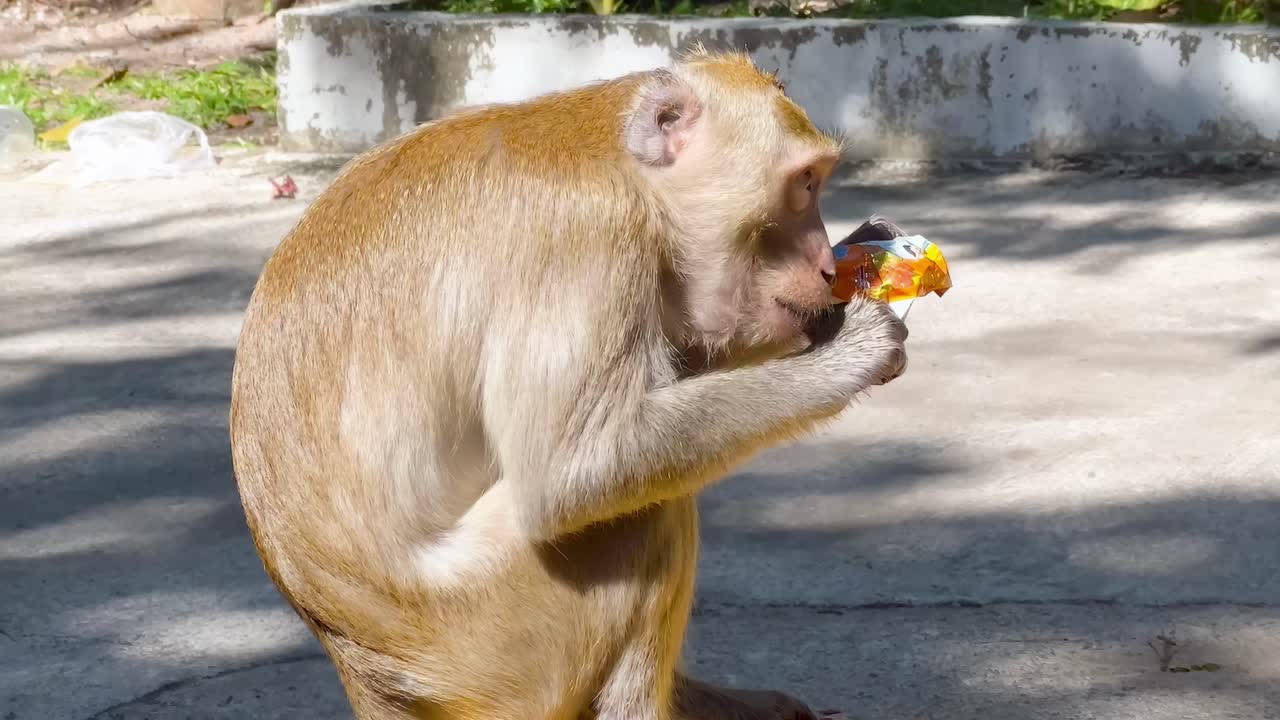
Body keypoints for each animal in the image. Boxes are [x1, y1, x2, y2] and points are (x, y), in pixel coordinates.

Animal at [229, 47, 908, 720]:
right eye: (804, 183)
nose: (824, 267)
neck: (623, 165)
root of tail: (367, 670)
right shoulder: (585, 238)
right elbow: (572, 474)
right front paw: (851, 352)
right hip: (498, 636)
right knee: (639, 511)